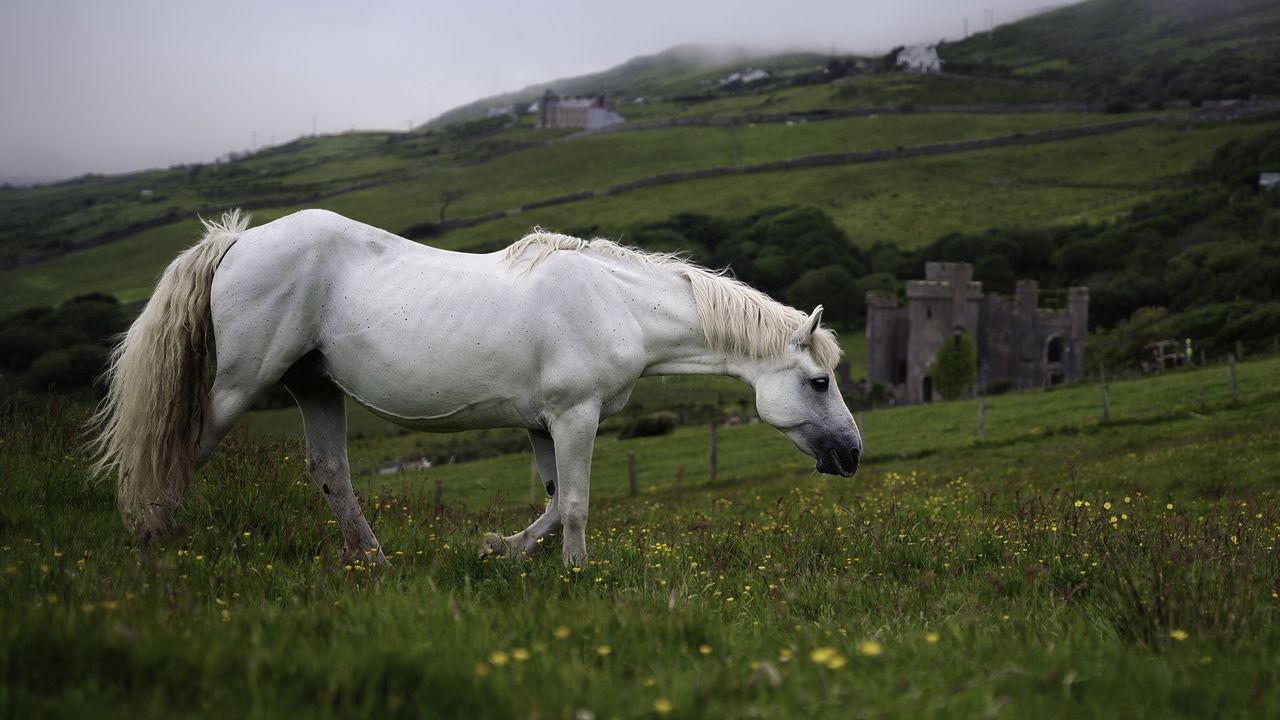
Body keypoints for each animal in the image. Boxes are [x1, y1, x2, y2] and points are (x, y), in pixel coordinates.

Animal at [89, 209, 862, 567]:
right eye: (820, 380)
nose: (852, 455)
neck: (616, 302)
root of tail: (236, 242)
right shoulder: (575, 417)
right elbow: (575, 505)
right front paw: (578, 575)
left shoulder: (542, 424)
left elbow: (550, 504)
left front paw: (499, 549)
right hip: (235, 388)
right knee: (176, 453)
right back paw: (154, 542)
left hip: (314, 387)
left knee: (332, 473)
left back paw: (374, 561)